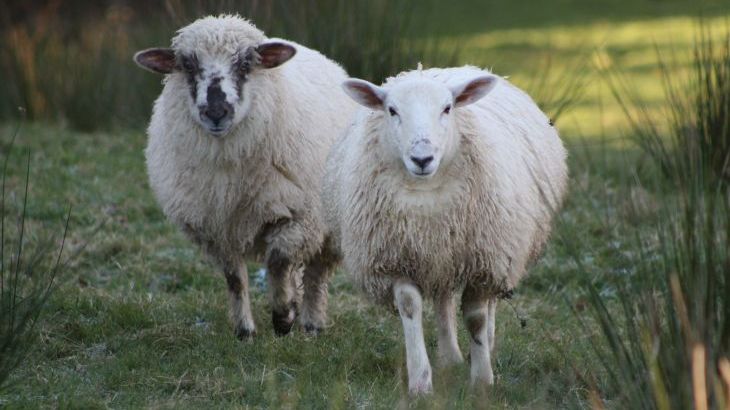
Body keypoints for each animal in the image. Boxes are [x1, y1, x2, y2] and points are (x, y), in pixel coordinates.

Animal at [135, 14, 356, 338]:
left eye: (245, 63)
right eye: (187, 65)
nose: (216, 112)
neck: (231, 179)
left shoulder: (300, 217)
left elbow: (278, 262)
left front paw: (283, 316)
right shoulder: (216, 230)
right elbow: (235, 279)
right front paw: (245, 331)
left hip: (330, 226)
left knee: (316, 273)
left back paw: (312, 323)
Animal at [324, 66, 568, 394]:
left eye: (447, 108)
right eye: (392, 110)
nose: (422, 158)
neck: (428, 194)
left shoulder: (484, 259)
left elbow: (476, 317)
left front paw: (482, 380)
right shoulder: (395, 258)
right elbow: (410, 307)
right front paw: (420, 382)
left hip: (496, 252)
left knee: (490, 302)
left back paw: (486, 346)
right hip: (439, 255)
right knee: (443, 302)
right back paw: (449, 357)